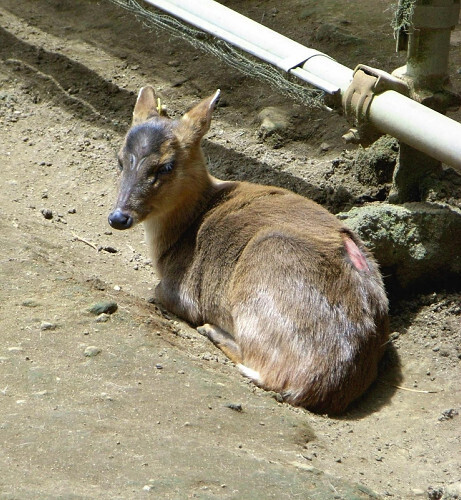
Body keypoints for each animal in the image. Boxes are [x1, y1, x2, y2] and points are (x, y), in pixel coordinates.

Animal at [108, 88, 388, 416]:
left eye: (166, 165)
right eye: (120, 160)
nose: (118, 217)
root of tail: (321, 387)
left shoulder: (182, 292)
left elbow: (157, 292)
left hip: (263, 278)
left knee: (264, 369)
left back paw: (210, 330)